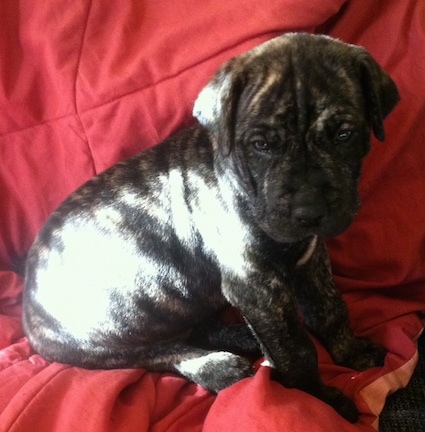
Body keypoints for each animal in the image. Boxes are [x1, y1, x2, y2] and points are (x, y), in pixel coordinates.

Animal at [23, 33, 400, 422]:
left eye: (345, 134)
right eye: (261, 145)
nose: (308, 212)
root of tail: (29, 305)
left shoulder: (310, 259)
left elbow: (329, 308)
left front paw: (350, 351)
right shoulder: (255, 286)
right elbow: (295, 350)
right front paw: (319, 400)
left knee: (195, 330)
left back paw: (243, 338)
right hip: (104, 334)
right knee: (157, 353)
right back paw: (217, 368)